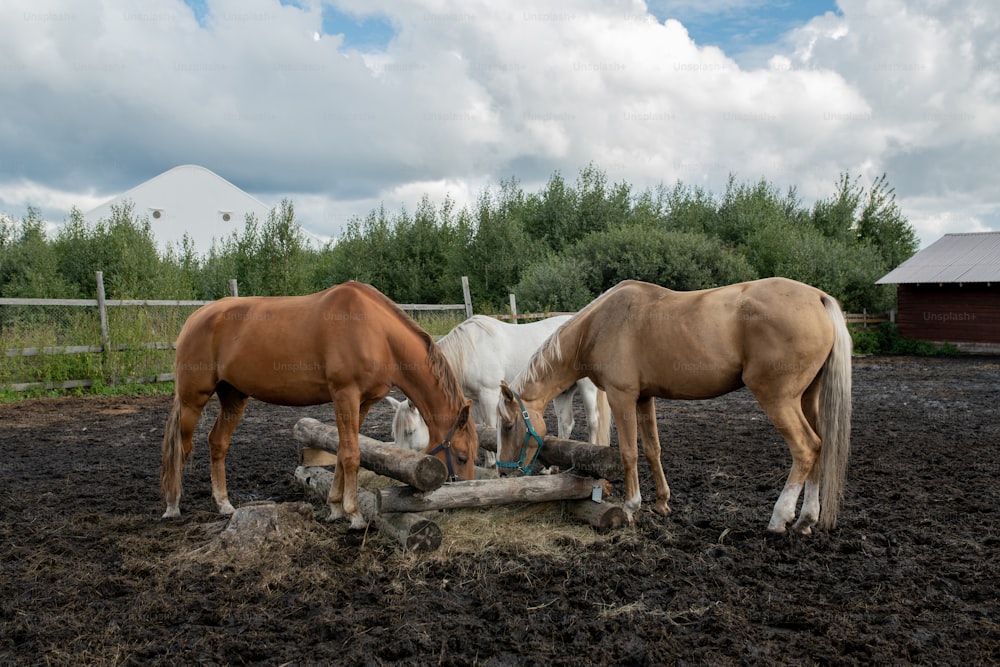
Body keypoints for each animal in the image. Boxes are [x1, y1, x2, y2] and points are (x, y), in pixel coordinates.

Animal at [160, 280, 476, 528]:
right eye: (461, 456)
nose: (460, 503)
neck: (377, 332)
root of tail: (196, 316)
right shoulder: (345, 395)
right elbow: (351, 455)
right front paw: (354, 515)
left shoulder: (363, 403)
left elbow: (343, 452)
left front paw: (336, 507)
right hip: (192, 400)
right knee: (180, 448)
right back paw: (173, 506)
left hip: (233, 399)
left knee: (217, 443)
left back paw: (224, 504)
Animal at [386, 316, 612, 462]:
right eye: (394, 433)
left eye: (410, 431)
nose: (399, 458)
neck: (468, 351)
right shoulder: (476, 399)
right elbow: (480, 427)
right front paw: (488, 461)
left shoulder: (489, 394)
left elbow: (491, 426)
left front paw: (494, 462)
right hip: (562, 391)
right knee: (566, 423)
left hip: (587, 387)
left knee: (593, 421)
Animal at [500, 280, 852, 536]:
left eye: (508, 426)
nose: (503, 472)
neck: (599, 325)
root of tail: (818, 297)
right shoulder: (644, 398)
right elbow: (653, 449)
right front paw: (661, 503)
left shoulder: (621, 397)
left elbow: (629, 453)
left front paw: (631, 506)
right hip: (807, 399)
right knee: (820, 447)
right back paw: (806, 519)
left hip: (777, 399)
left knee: (806, 448)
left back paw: (780, 518)